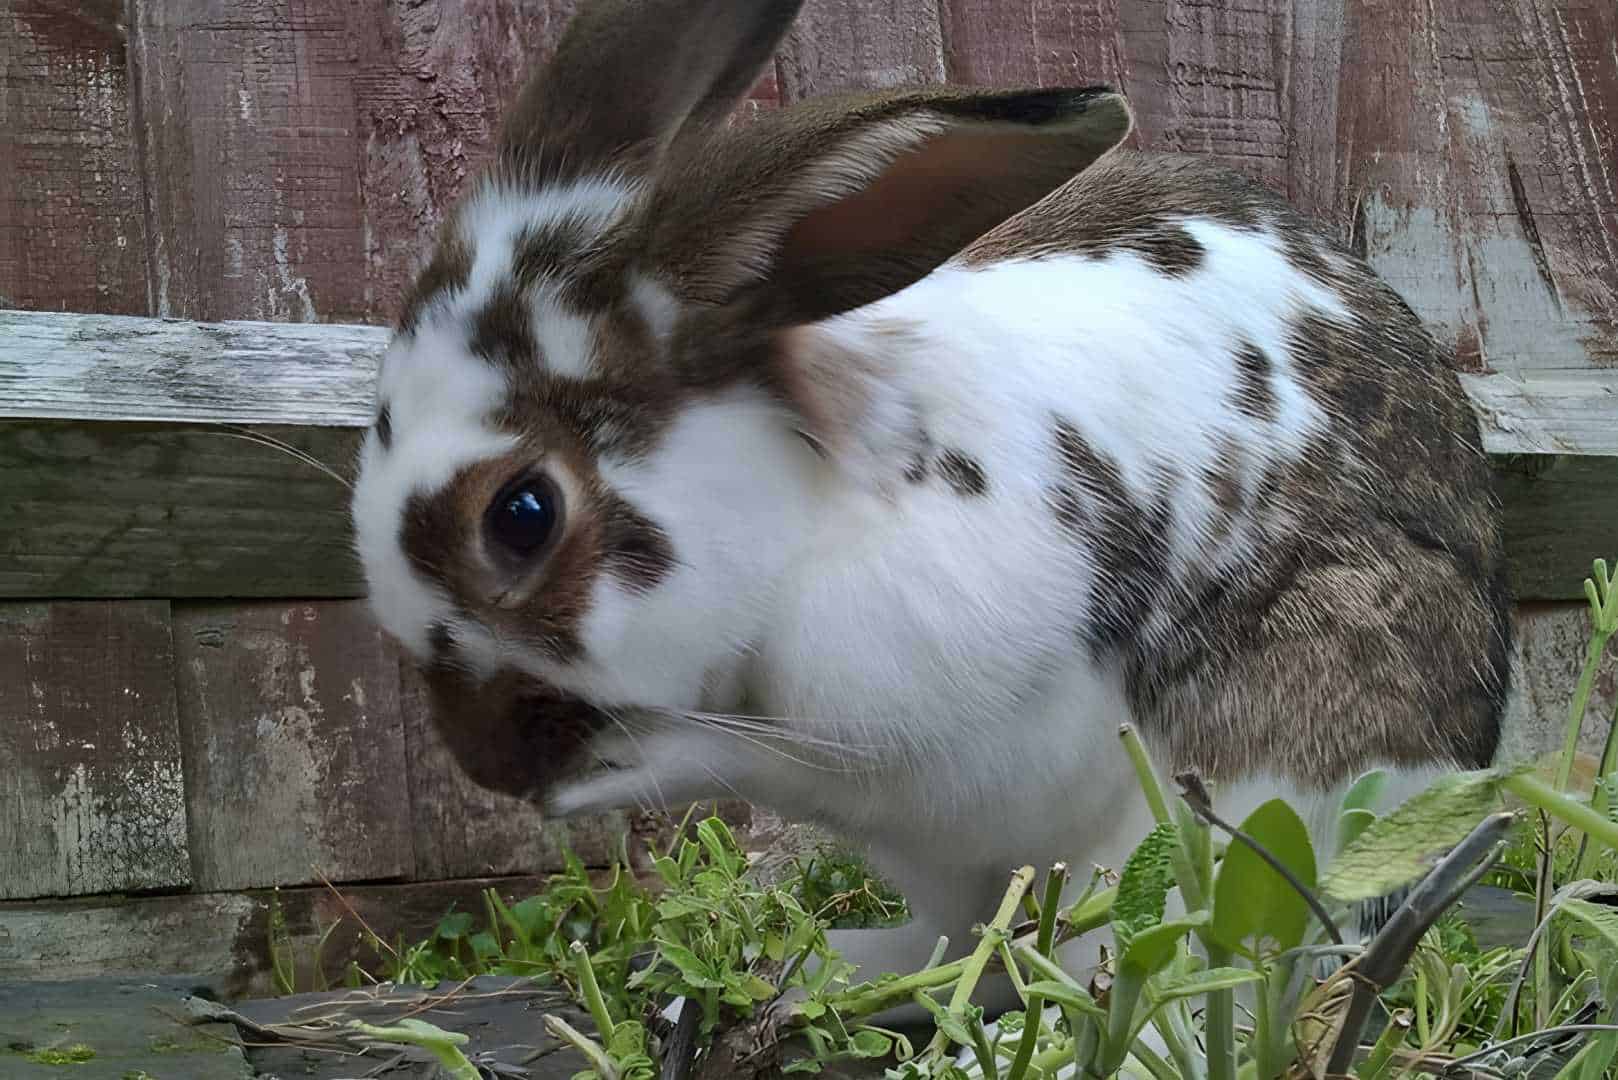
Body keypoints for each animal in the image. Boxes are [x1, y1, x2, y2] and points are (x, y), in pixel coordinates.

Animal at [344, 0, 1514, 1003]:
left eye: (522, 515)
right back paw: (840, 970)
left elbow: (731, 753)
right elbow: (947, 914)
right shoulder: (912, 824)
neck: (802, 528)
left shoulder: (898, 736)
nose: (484, 765)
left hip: (1265, 776)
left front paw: (605, 775)